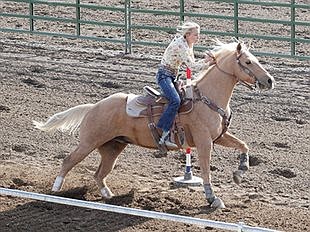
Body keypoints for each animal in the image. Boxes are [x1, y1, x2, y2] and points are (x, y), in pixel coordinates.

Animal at [33, 41, 274, 208]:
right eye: (248, 62)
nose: (270, 80)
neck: (206, 97)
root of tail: (94, 107)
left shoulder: (219, 136)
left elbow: (243, 145)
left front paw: (240, 171)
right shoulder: (205, 142)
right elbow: (206, 170)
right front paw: (212, 198)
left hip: (113, 147)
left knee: (100, 173)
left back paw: (109, 196)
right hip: (88, 142)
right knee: (68, 161)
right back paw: (55, 190)